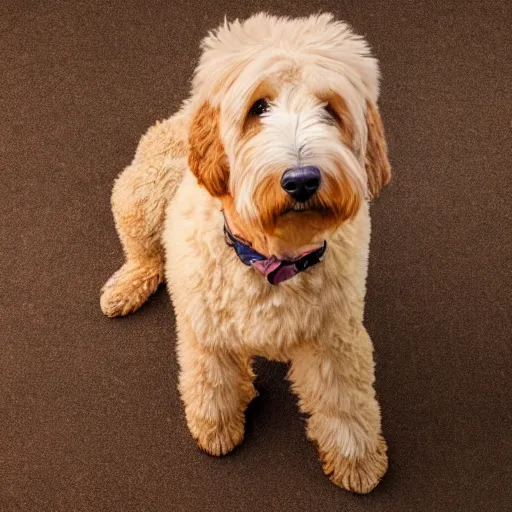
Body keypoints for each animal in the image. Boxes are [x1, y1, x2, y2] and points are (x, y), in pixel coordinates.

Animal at [100, 13, 392, 492]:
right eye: (258, 108)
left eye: (330, 110)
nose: (301, 179)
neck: (272, 260)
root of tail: (189, 107)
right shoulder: (205, 333)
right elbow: (211, 384)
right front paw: (216, 429)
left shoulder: (335, 339)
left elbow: (345, 403)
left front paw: (358, 461)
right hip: (140, 194)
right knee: (143, 253)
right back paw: (127, 286)